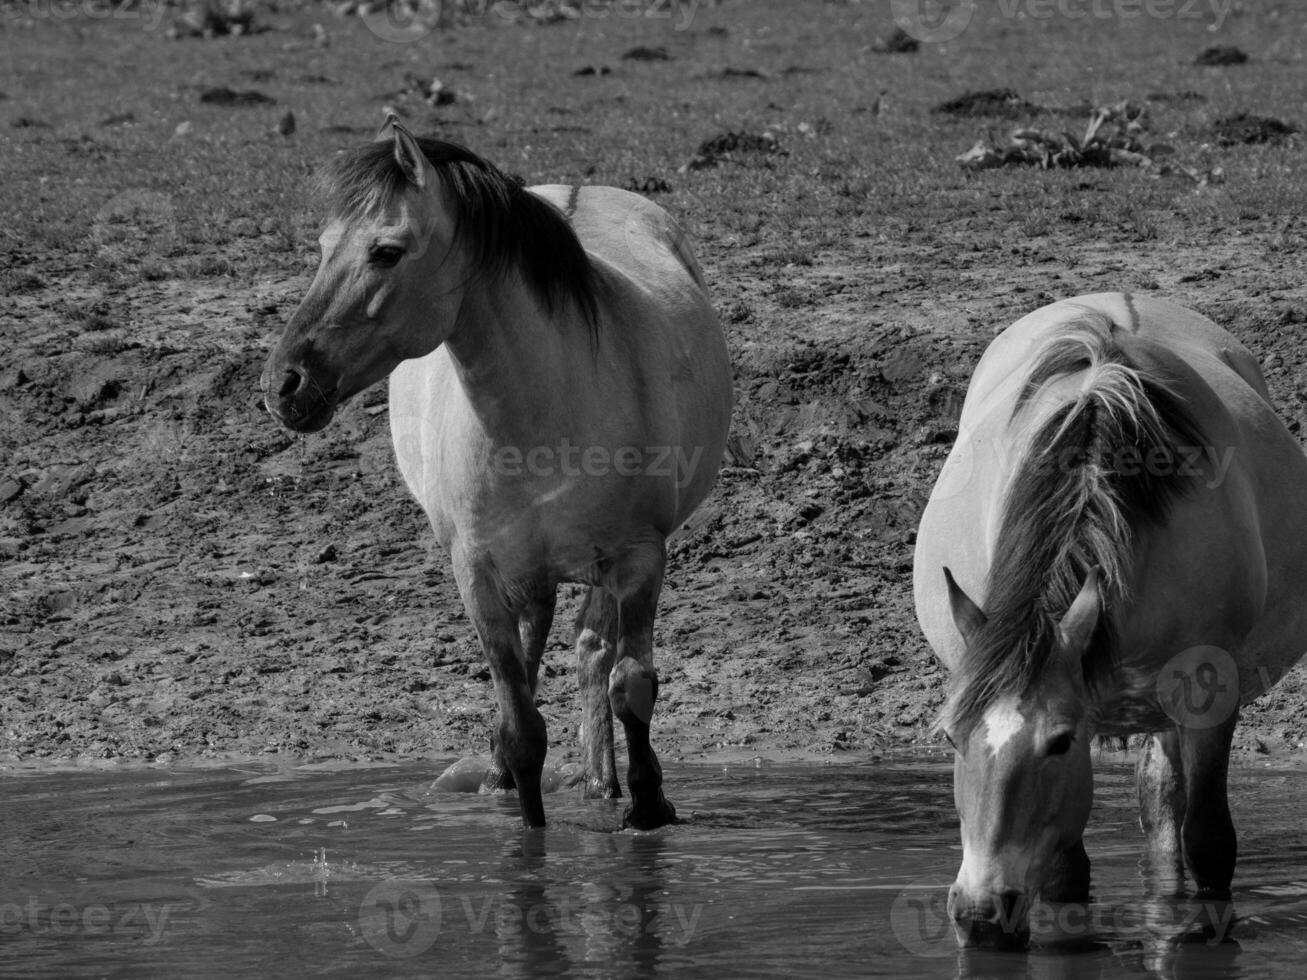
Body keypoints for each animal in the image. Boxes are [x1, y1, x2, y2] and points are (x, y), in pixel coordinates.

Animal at [914, 294, 1307, 951]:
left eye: (1059, 742)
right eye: (949, 738)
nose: (980, 913)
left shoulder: (1208, 692)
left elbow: (1210, 843)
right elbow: (1065, 876)